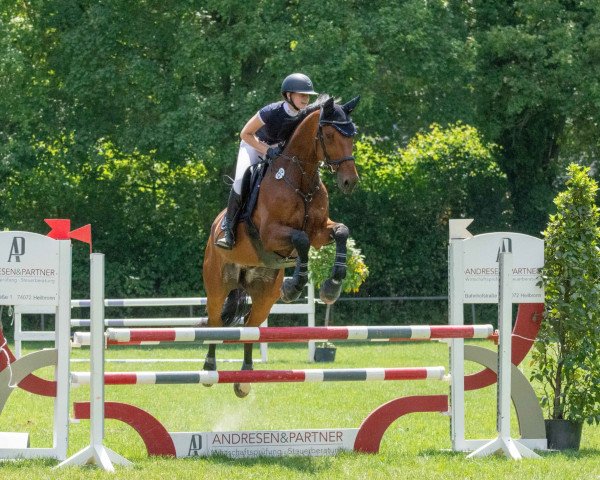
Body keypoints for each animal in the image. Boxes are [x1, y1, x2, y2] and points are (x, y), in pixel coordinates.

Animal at [202, 95, 360, 396]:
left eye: (353, 135)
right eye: (330, 135)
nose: (350, 181)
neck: (301, 178)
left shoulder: (321, 231)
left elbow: (341, 232)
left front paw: (332, 286)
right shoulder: (270, 234)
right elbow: (301, 240)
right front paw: (295, 285)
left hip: (264, 293)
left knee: (251, 326)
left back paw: (244, 379)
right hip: (217, 284)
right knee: (215, 322)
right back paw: (208, 370)